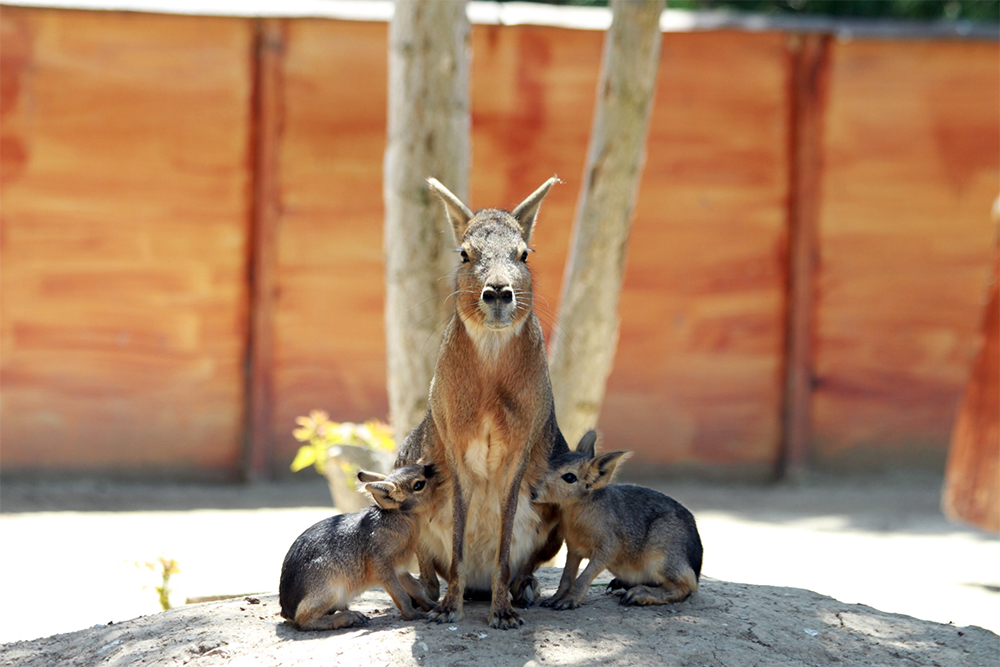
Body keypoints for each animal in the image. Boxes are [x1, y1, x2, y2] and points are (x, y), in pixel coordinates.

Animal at [393, 177, 570, 629]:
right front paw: (447, 609)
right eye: (464, 253)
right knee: (425, 563)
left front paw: (503, 612)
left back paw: (525, 589)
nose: (498, 293)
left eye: (523, 253)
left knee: (527, 562)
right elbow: (458, 527)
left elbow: (506, 533)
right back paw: (429, 596)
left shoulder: (520, 447)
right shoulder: (454, 443)